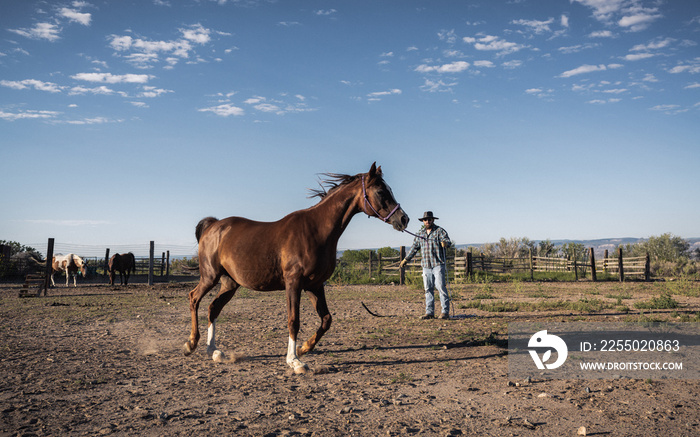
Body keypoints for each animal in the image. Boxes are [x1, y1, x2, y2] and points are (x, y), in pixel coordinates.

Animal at [186, 164, 408, 372]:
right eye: (381, 192)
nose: (403, 219)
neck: (316, 231)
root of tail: (213, 226)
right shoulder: (294, 283)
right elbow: (294, 320)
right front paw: (294, 361)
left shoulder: (315, 285)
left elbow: (326, 319)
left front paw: (304, 348)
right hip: (210, 277)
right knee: (194, 298)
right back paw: (191, 343)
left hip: (230, 283)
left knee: (213, 308)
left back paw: (214, 352)